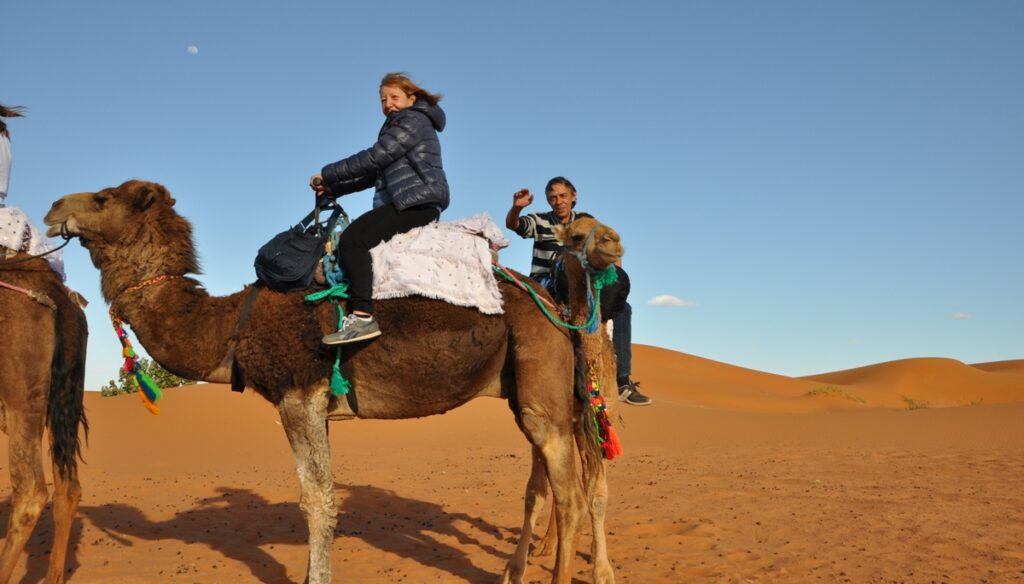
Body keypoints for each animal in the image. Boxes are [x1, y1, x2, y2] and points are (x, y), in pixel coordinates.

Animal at [44, 179, 622, 577]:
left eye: (103, 198)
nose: (52, 208)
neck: (235, 324)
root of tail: (553, 303)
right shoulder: (316, 406)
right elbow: (322, 497)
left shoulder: (298, 397)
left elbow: (318, 502)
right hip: (530, 392)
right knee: (557, 484)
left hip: (542, 390)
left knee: (571, 493)